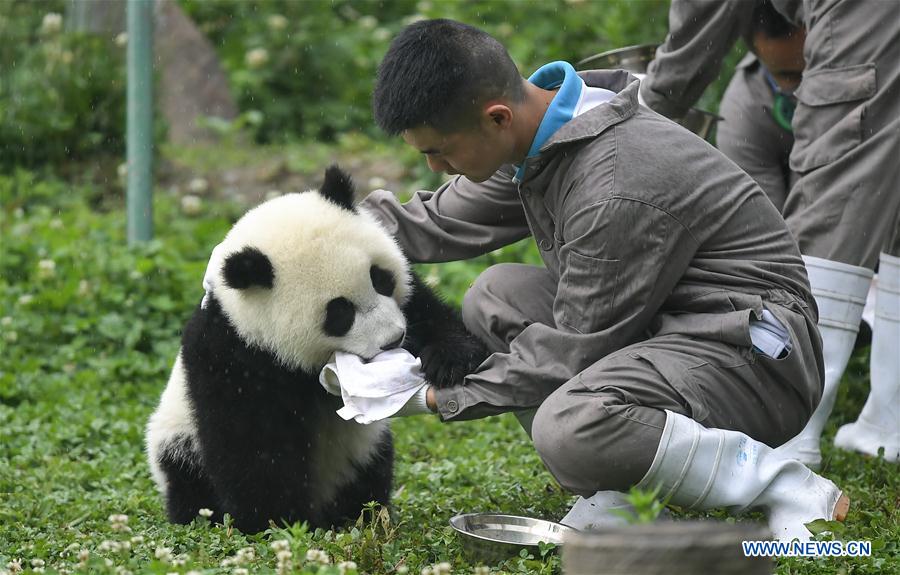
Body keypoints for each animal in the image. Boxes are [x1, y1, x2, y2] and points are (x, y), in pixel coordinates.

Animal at [145, 166, 487, 534]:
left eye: (380, 279)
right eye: (339, 314)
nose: (394, 339)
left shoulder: (407, 302)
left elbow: (426, 312)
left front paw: (450, 360)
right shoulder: (233, 355)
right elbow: (254, 443)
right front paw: (277, 521)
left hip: (360, 452)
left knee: (370, 470)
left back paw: (360, 515)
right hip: (179, 445)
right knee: (188, 478)